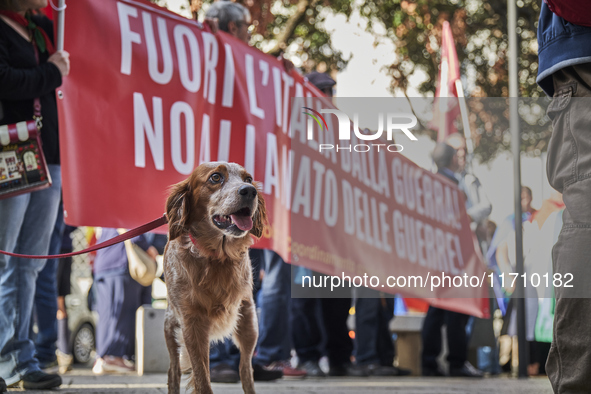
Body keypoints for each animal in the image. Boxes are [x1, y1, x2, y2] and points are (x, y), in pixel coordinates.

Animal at [163, 162, 268, 392]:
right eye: (216, 177)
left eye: (248, 179)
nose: (250, 191)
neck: (217, 258)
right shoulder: (192, 324)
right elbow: (202, 378)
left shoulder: (246, 315)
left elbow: (240, 370)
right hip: (171, 327)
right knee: (174, 371)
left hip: (249, 324)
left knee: (245, 369)